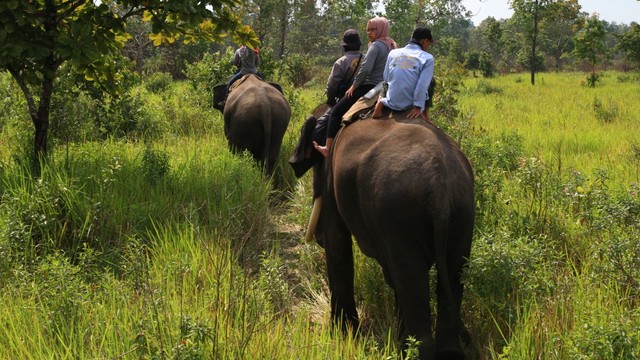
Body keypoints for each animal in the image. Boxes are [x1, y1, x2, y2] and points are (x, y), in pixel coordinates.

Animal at [320, 105, 476, 358]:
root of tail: (439, 187)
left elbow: (335, 238)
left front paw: (342, 334)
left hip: (397, 210)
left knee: (410, 281)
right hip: (462, 212)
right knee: (449, 277)